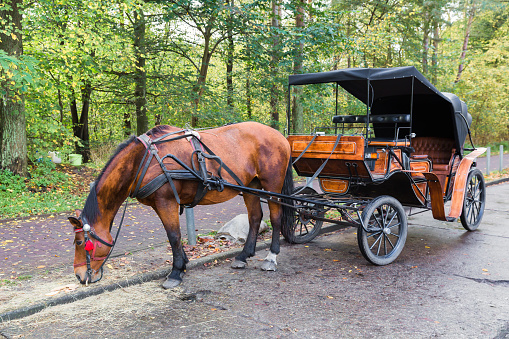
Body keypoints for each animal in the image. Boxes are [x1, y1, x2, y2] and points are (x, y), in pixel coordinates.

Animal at [67, 122, 294, 290]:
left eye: (80, 242)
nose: (79, 276)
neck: (144, 160)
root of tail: (280, 136)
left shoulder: (165, 202)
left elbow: (174, 236)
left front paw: (176, 272)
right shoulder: (162, 204)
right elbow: (173, 236)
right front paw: (183, 264)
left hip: (272, 186)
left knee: (275, 217)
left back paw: (271, 257)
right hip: (250, 186)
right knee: (255, 217)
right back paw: (243, 255)